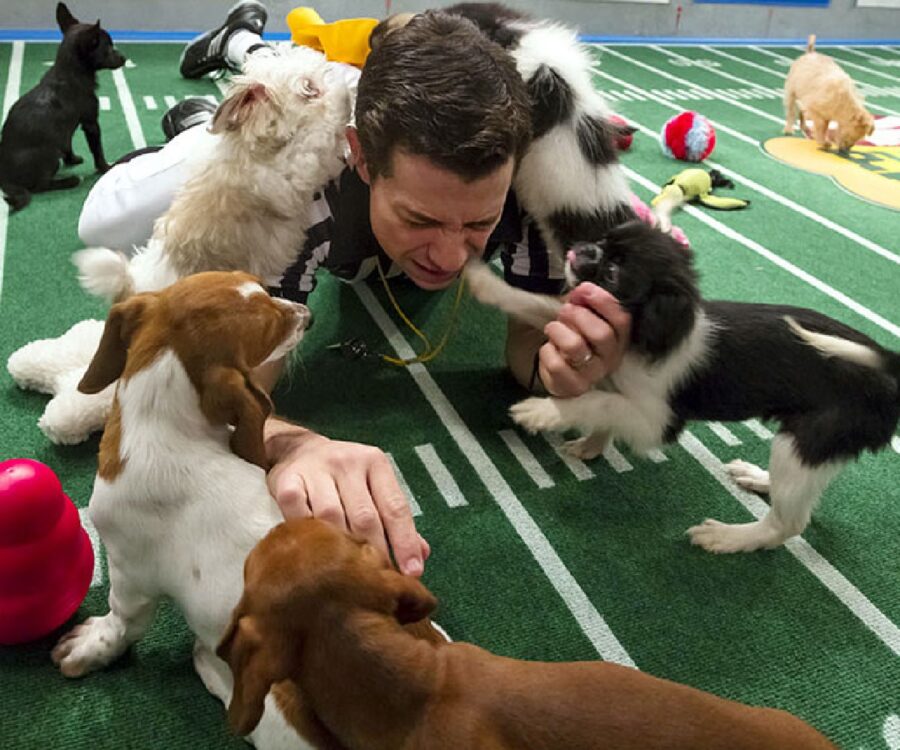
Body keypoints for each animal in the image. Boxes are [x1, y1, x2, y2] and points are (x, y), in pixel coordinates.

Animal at [0, 3, 126, 212]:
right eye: (107, 47)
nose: (124, 58)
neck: (69, 73)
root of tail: (5, 177)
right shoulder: (91, 124)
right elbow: (97, 150)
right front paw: (105, 168)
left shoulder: (64, 132)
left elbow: (67, 144)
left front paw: (72, 159)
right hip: (50, 157)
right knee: (40, 186)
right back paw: (69, 181)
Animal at [464, 220, 900, 556]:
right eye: (604, 240)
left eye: (613, 274)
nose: (580, 249)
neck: (640, 337)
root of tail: (889, 371)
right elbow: (539, 306)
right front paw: (482, 279)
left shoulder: (657, 422)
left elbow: (598, 400)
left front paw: (543, 411)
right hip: (808, 448)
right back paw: (758, 478)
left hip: (808, 439)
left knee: (787, 524)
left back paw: (728, 537)